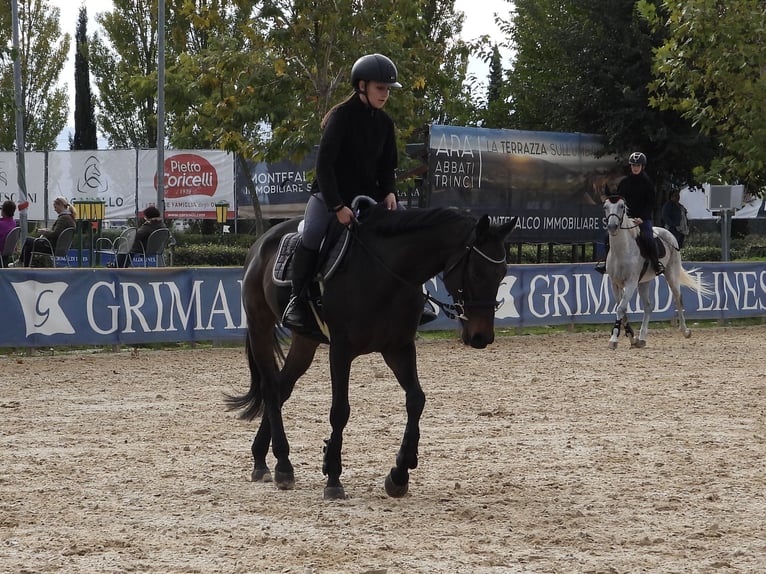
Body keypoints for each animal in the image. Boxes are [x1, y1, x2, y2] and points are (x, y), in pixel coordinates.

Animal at [225, 206, 520, 500]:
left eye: (503, 272)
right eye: (477, 273)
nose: (482, 337)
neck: (387, 274)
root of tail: (261, 242)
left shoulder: (398, 348)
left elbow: (416, 400)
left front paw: (399, 474)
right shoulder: (341, 351)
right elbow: (340, 410)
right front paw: (333, 476)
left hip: (305, 341)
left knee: (282, 387)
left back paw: (262, 458)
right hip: (260, 326)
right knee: (271, 389)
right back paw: (283, 464)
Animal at [604, 198, 712, 352]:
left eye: (621, 206)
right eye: (605, 207)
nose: (612, 226)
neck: (622, 251)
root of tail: (667, 232)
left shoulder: (631, 283)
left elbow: (621, 309)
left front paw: (613, 339)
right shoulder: (615, 283)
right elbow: (622, 311)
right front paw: (632, 338)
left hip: (671, 274)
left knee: (678, 299)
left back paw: (685, 331)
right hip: (643, 283)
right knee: (648, 306)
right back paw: (642, 338)